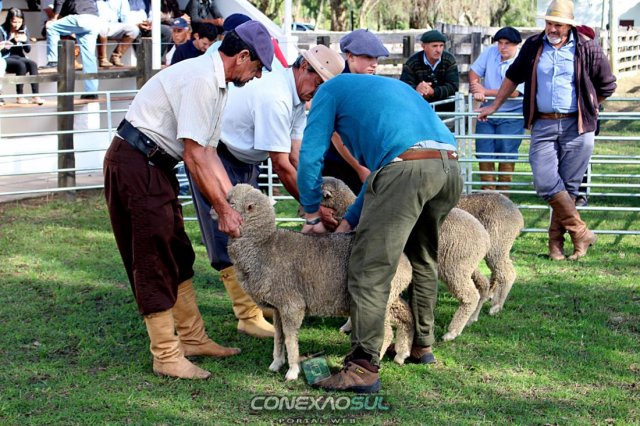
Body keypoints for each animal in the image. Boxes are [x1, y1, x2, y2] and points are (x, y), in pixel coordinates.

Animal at [226, 183, 414, 382]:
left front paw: (292, 370)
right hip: (391, 296)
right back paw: (402, 354)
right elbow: (279, 335)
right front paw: (276, 363)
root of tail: (404, 261)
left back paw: (375, 360)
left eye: (231, 203)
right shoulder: (277, 306)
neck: (261, 246)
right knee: (405, 315)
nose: (217, 212)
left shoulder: (292, 305)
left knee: (387, 333)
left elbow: (290, 339)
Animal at [320, 177, 491, 342]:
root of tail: (484, 236)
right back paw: (472, 318)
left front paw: (349, 325)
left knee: (470, 295)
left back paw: (453, 332)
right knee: (483, 284)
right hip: (467, 265)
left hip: (455, 267)